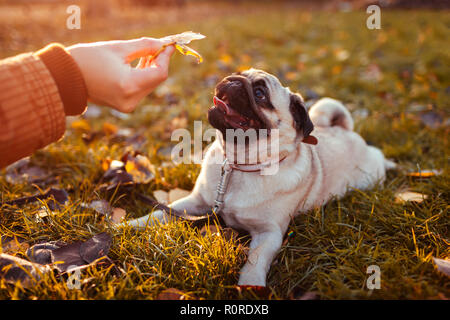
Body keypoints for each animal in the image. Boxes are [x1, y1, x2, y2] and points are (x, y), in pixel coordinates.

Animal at [125, 69, 396, 286]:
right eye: (238, 75)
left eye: (259, 93)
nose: (232, 80)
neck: (238, 165)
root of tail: (345, 130)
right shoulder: (195, 203)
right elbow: (158, 213)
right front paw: (126, 226)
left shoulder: (269, 233)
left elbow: (256, 258)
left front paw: (250, 285)